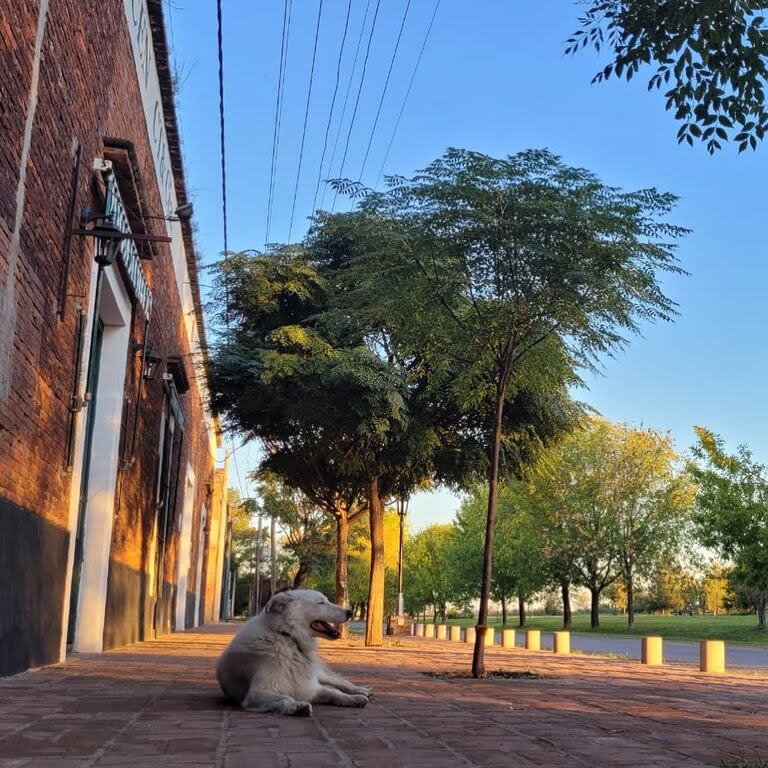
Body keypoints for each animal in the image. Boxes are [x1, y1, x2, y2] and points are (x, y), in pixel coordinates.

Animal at [216, 592, 372, 716]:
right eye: (320, 602)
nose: (350, 612)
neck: (289, 638)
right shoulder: (257, 693)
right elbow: (284, 698)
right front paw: (296, 706)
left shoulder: (310, 687)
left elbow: (335, 693)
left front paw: (352, 699)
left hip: (322, 675)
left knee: (341, 682)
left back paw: (362, 690)